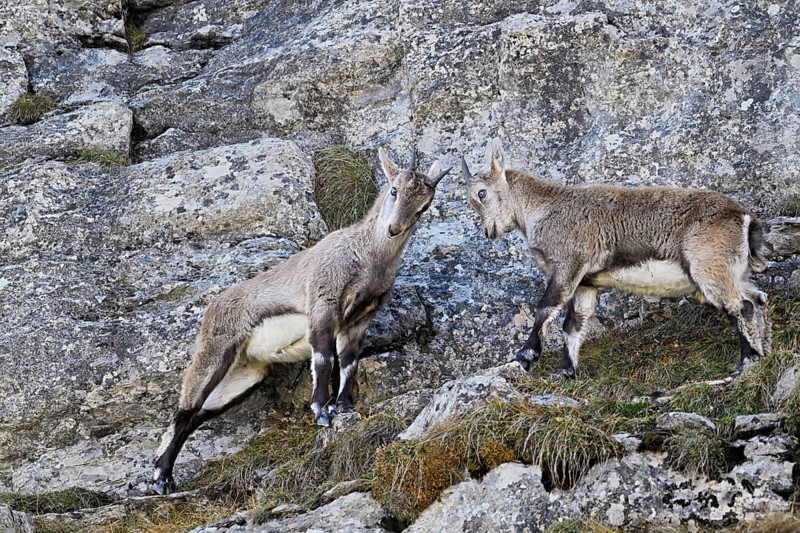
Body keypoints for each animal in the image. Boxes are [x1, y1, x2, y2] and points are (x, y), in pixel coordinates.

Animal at [151, 148, 451, 495]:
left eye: (423, 207)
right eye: (394, 189)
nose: (394, 229)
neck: (368, 259)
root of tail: (213, 308)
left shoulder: (358, 321)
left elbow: (348, 363)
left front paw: (344, 406)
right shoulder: (323, 305)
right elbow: (323, 359)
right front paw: (321, 410)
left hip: (246, 375)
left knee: (197, 415)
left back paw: (164, 474)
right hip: (216, 352)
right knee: (185, 410)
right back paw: (160, 477)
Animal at [462, 140, 770, 380]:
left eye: (481, 193)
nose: (489, 231)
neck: (542, 209)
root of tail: (744, 217)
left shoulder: (567, 265)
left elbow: (545, 309)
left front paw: (523, 357)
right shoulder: (586, 282)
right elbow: (574, 324)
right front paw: (565, 372)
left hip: (708, 268)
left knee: (742, 307)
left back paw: (745, 364)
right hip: (734, 273)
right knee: (757, 300)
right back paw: (761, 355)